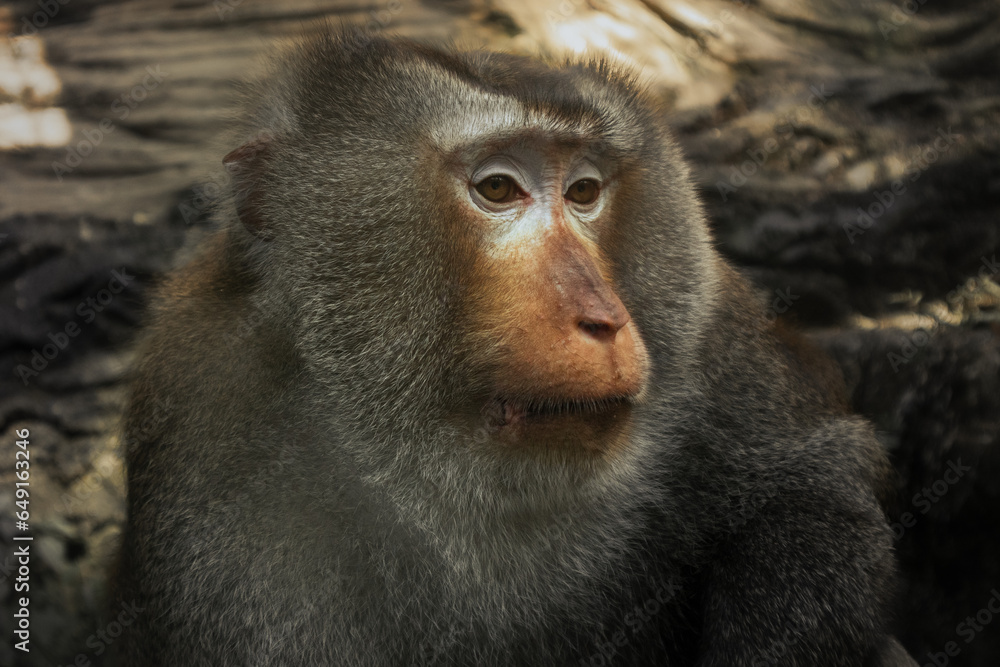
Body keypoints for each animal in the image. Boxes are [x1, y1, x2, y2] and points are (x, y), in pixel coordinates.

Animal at [115, 28, 917, 666]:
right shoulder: (209, 418)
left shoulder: (712, 336)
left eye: (585, 191)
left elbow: (810, 485)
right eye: (497, 189)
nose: (603, 318)